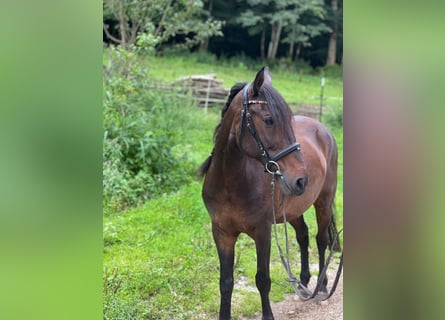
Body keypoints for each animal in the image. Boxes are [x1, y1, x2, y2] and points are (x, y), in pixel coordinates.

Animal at [199, 67, 338, 320]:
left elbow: (262, 279)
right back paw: (303, 283)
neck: (231, 183)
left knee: (321, 240)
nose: (301, 180)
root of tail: (323, 129)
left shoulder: (263, 232)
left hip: (323, 202)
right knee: (303, 236)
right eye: (269, 120)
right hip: (292, 210)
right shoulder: (222, 233)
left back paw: (322, 287)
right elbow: (226, 282)